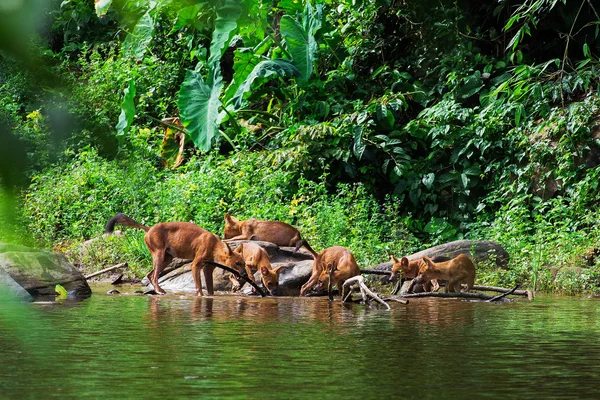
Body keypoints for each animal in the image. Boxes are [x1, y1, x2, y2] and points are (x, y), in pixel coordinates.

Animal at [105, 214, 244, 296]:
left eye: (243, 263)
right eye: (237, 263)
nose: (244, 274)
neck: (214, 246)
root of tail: (149, 228)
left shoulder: (207, 268)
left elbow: (210, 288)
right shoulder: (195, 265)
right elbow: (199, 286)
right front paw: (200, 296)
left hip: (168, 258)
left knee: (149, 275)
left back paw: (160, 290)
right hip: (159, 255)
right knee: (154, 276)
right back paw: (159, 291)